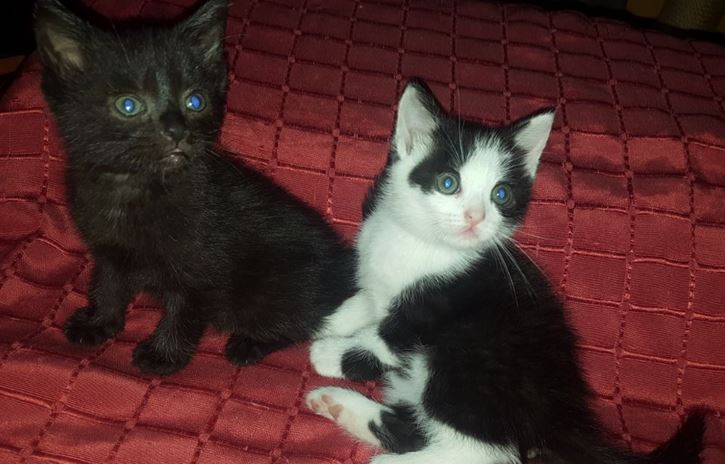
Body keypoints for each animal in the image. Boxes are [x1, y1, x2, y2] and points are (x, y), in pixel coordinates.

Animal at [34, 0, 356, 375]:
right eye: (128, 105)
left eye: (195, 101)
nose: (176, 130)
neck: (137, 188)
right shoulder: (109, 251)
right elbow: (108, 284)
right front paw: (98, 322)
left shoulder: (202, 266)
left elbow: (183, 311)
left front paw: (163, 355)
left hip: (275, 287)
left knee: (298, 321)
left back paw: (250, 343)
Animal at [304, 79, 706, 464]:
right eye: (448, 183)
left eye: (501, 194)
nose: (475, 217)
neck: (423, 244)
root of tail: (560, 421)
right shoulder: (380, 282)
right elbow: (366, 302)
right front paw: (330, 321)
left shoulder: (438, 305)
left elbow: (385, 338)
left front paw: (330, 353)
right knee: (417, 428)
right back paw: (336, 402)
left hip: (470, 360)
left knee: (485, 450)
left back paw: (385, 459)